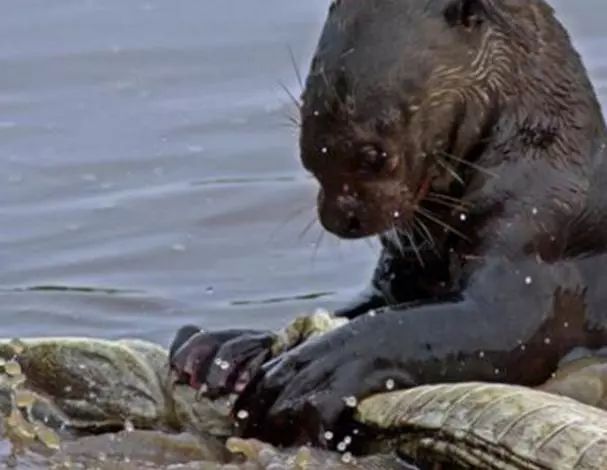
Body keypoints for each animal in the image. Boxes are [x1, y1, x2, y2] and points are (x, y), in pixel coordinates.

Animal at [169, 0, 607, 448]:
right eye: (307, 150)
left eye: (375, 156)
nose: (340, 218)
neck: (537, 160)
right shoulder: (401, 271)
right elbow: (369, 307)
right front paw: (228, 348)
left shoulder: (537, 239)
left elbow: (486, 327)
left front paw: (304, 378)